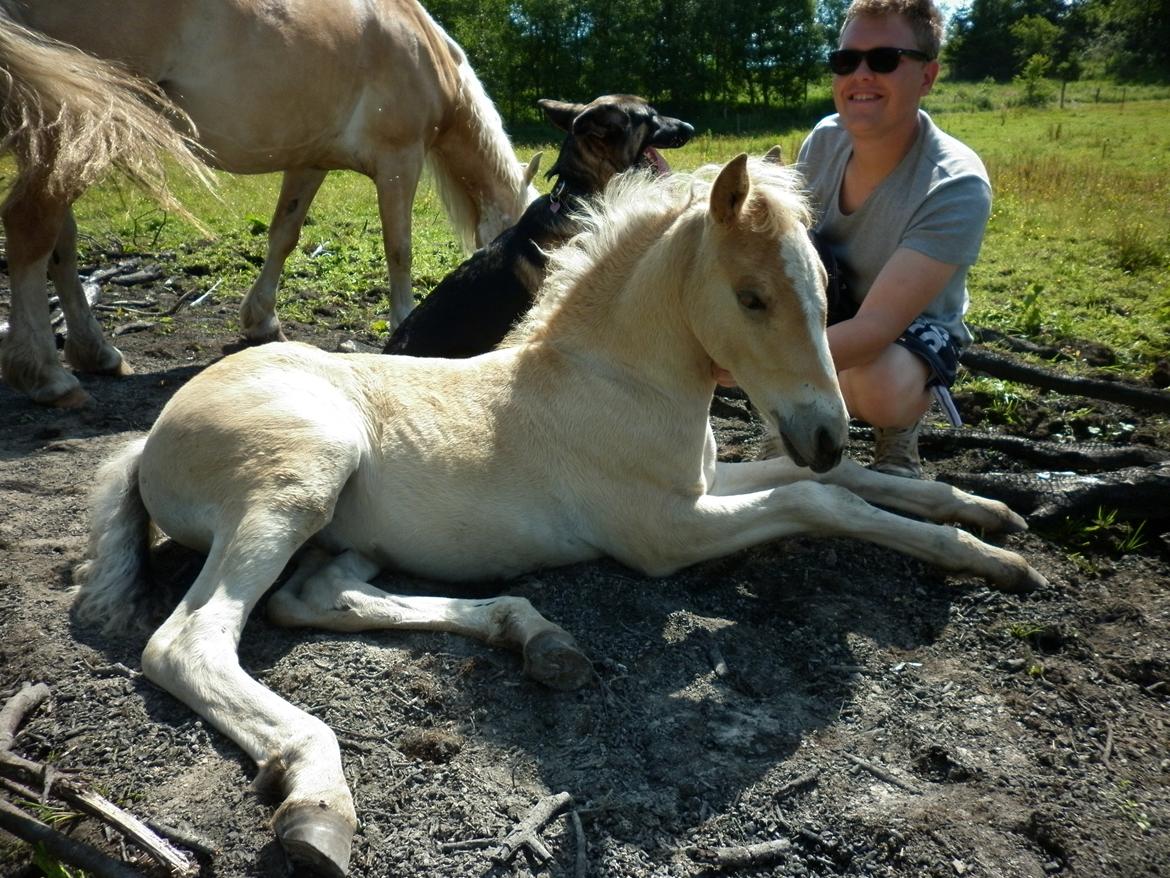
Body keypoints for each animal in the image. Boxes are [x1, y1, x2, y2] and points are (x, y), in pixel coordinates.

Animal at [0, 1, 535, 407]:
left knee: (60, 241)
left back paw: (96, 353)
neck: (423, 46)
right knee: (31, 225)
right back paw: (49, 377)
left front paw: (261, 321)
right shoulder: (399, 161)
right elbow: (399, 249)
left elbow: (284, 235)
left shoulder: (310, 162)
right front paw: (406, 326)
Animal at [73, 154, 1043, 875]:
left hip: (337, 530)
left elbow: (864, 485)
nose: (827, 433)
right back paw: (318, 800)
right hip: (296, 481)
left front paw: (986, 516)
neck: (616, 379)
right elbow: (819, 498)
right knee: (193, 640)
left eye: (824, 293)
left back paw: (534, 633)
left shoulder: (703, 484)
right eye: (753, 296)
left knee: (314, 598)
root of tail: (149, 439)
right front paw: (983, 556)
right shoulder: (665, 532)